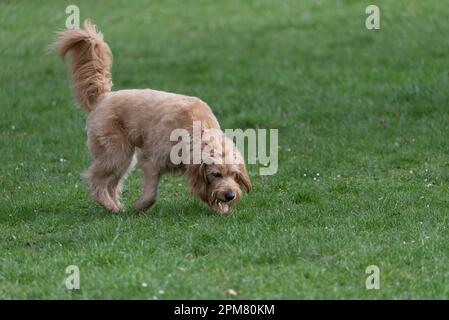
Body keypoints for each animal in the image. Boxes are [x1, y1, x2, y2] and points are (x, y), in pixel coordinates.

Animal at [51, 21, 252, 214]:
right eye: (216, 174)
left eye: (234, 174)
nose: (230, 196)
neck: (195, 127)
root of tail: (104, 97)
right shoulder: (152, 162)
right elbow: (151, 195)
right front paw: (139, 207)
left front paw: (221, 209)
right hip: (116, 154)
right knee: (95, 180)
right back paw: (111, 207)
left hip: (126, 159)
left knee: (112, 184)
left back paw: (116, 207)